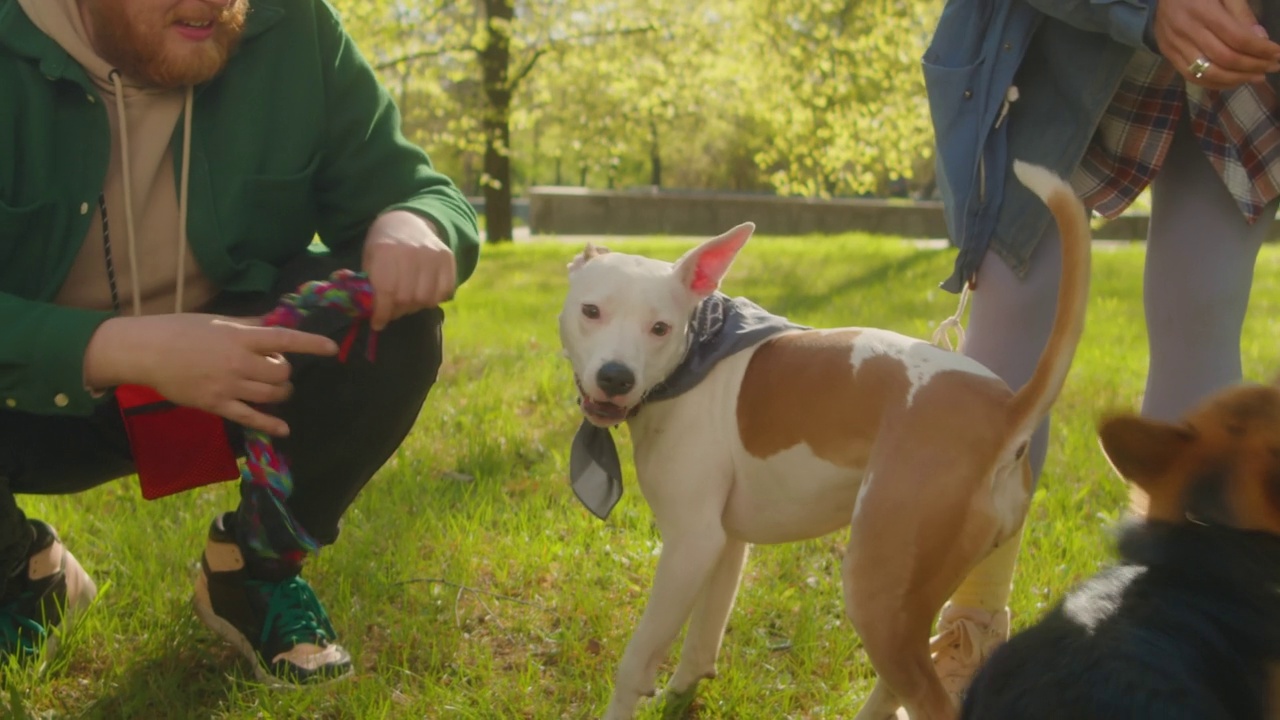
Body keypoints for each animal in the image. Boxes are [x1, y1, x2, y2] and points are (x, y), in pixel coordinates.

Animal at [560, 162, 1090, 717]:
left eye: (660, 327)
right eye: (591, 311)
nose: (615, 377)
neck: (698, 351)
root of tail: (1004, 411)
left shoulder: (689, 544)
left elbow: (635, 662)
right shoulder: (723, 546)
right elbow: (701, 642)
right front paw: (680, 696)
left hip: (875, 589)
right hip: (905, 602)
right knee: (900, 677)